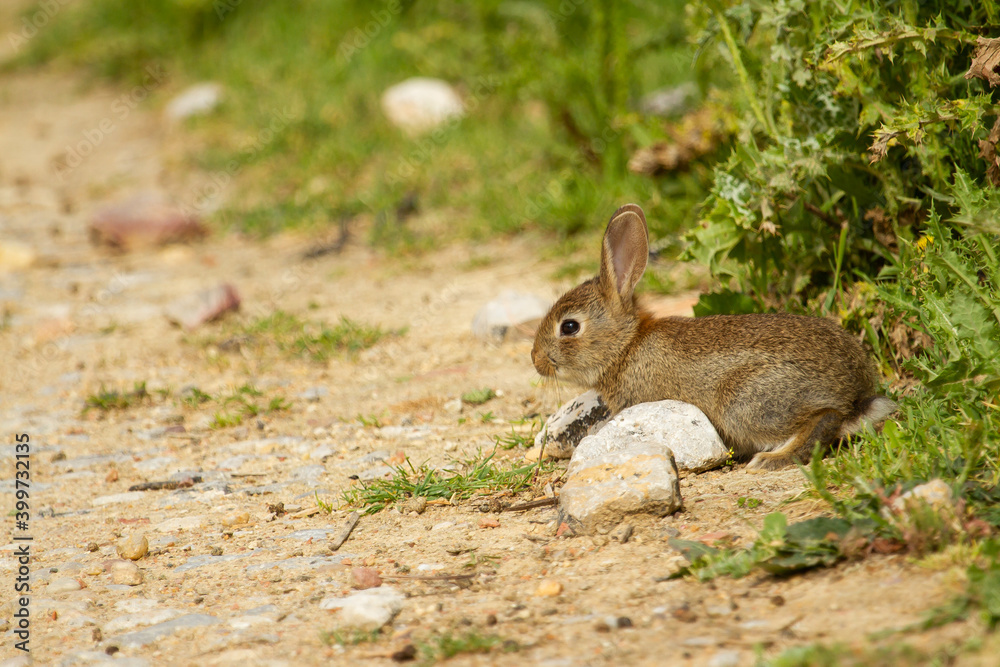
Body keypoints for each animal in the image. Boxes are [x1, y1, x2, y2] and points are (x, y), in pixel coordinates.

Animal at [531, 203, 897, 471]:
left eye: (569, 327)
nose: (535, 360)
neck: (626, 346)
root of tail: (857, 393)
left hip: (744, 403)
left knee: (824, 420)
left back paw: (770, 460)